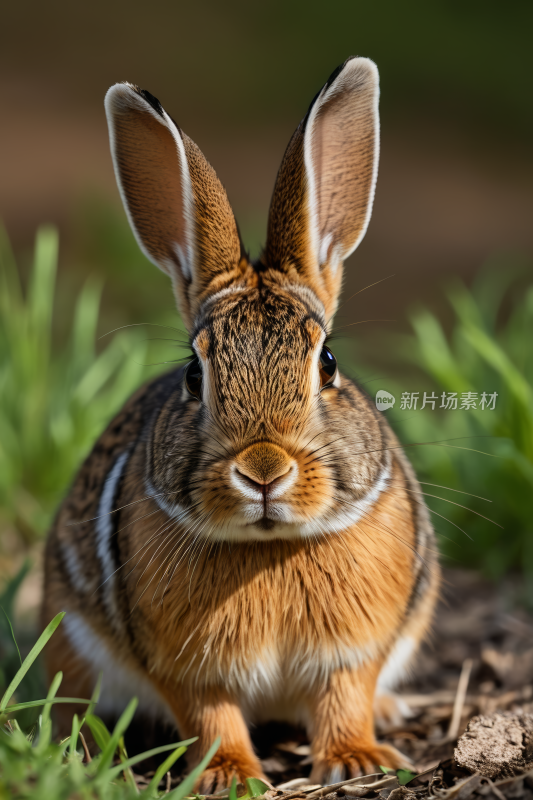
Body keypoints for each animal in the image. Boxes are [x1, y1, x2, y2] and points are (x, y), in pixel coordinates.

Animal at [41, 57, 438, 792]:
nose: (262, 470)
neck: (266, 547)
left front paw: (357, 758)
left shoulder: (353, 651)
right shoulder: (186, 666)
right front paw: (229, 776)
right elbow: (210, 714)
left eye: (328, 363)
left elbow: (344, 696)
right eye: (193, 376)